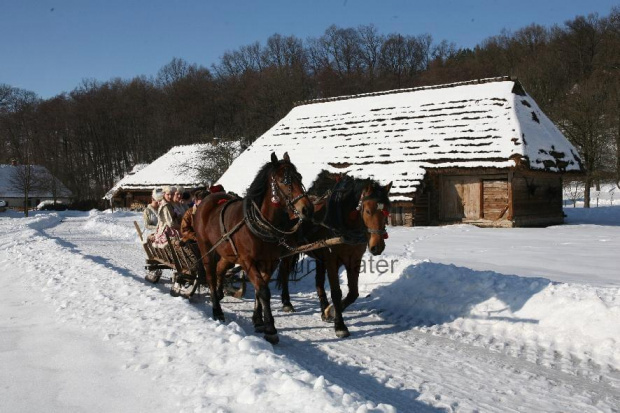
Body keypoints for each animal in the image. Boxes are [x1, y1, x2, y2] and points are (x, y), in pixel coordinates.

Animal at [195, 153, 312, 342]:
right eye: (284, 180)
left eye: (299, 177)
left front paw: (258, 320)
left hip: (227, 254)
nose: (307, 209)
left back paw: (220, 294)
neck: (261, 224)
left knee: (220, 269)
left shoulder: (270, 262)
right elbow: (263, 290)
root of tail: (206, 200)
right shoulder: (247, 261)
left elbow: (259, 288)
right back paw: (217, 310)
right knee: (211, 275)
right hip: (206, 248)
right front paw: (270, 329)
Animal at [278, 174, 390, 338]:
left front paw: (329, 312)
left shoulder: (354, 260)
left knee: (318, 282)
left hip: (319, 256)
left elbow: (353, 293)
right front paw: (340, 325)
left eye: (387, 211)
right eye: (368, 211)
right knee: (285, 273)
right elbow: (337, 292)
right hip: (289, 251)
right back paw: (287, 303)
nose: (377, 247)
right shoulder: (332, 261)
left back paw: (323, 307)